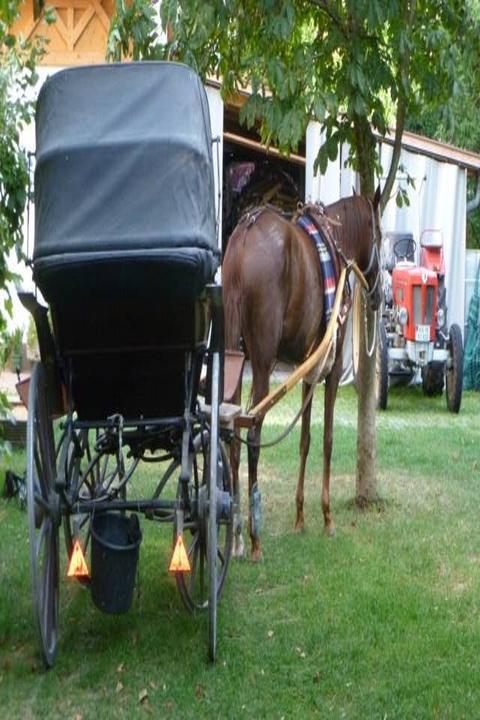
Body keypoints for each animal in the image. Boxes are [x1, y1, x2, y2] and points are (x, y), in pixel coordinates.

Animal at [222, 193, 382, 564]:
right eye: (381, 236)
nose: (382, 296)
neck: (337, 246)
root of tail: (245, 232)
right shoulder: (332, 371)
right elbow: (327, 440)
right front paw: (326, 517)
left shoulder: (309, 372)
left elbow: (305, 440)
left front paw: (299, 517)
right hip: (262, 363)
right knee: (252, 434)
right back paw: (254, 539)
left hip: (232, 353)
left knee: (231, 432)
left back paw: (235, 535)